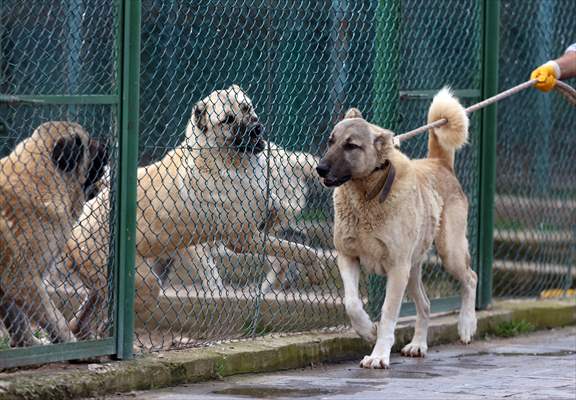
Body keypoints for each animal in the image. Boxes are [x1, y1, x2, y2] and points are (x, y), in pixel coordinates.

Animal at [0, 122, 108, 346]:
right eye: (89, 143)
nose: (108, 145)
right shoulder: (22, 280)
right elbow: (55, 318)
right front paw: (69, 344)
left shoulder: (8, 286)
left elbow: (18, 323)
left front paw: (29, 344)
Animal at [58, 85, 332, 340]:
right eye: (227, 120)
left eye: (246, 108)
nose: (256, 129)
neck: (221, 157)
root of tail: (74, 231)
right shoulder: (242, 239)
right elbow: (298, 249)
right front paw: (317, 269)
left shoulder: (264, 223)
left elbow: (290, 242)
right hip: (144, 283)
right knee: (113, 318)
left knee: (82, 318)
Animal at [316, 89, 476, 370]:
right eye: (330, 141)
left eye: (351, 146)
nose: (320, 168)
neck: (365, 196)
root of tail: (439, 162)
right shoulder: (347, 257)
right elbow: (351, 302)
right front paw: (366, 329)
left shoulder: (397, 268)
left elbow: (388, 315)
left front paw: (379, 355)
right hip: (412, 272)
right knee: (426, 304)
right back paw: (418, 345)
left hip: (449, 253)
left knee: (471, 278)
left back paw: (467, 325)